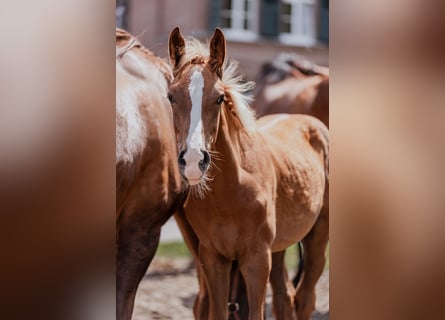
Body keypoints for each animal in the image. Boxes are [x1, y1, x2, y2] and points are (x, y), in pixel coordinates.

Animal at [166, 27, 326, 320]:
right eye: (171, 96)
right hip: (278, 248)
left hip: (318, 234)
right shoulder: (213, 258)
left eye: (219, 98)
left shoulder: (256, 259)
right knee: (285, 297)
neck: (230, 194)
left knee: (305, 298)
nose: (193, 160)